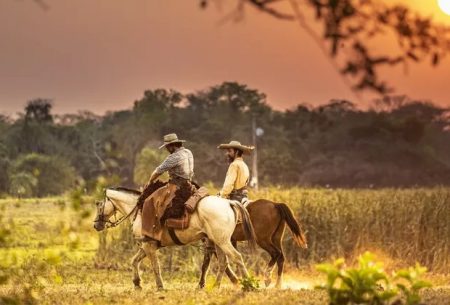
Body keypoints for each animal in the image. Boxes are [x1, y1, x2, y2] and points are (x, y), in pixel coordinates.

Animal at [92, 186, 255, 288]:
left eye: (99, 204)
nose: (96, 225)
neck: (140, 211)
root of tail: (229, 202)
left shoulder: (149, 246)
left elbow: (155, 266)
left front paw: (160, 286)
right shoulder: (147, 246)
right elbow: (134, 261)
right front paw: (137, 283)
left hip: (223, 242)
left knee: (237, 258)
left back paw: (249, 285)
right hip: (218, 242)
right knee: (223, 263)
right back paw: (216, 286)